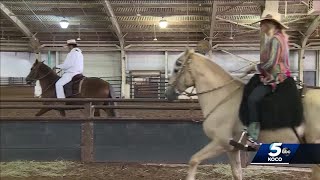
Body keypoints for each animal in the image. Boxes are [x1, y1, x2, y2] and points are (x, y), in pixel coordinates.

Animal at [165, 48, 320, 180]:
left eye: (177, 67)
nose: (168, 94)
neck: (223, 98)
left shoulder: (220, 143)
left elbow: (193, 160)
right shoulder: (233, 149)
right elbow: (237, 173)